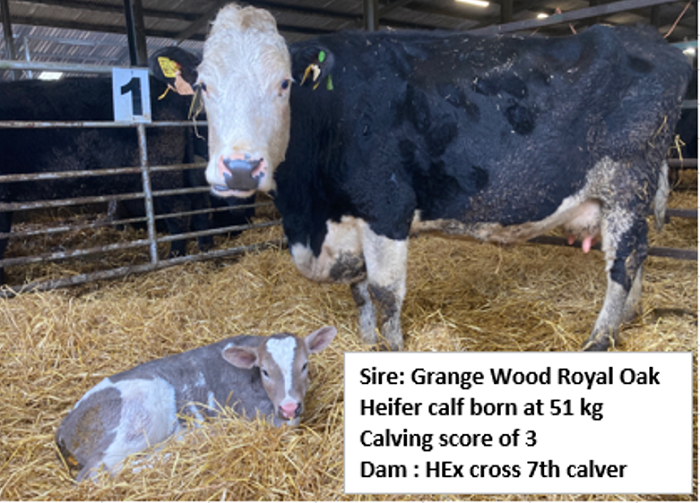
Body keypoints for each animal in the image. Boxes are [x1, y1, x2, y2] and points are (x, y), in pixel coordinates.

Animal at [55, 325, 337, 481]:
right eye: (265, 371)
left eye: (304, 365)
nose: (289, 406)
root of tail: (64, 429)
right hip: (137, 416)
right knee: (101, 471)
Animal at [171, 5, 690, 351]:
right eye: (202, 86)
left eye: (283, 84)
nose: (241, 168)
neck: (310, 216)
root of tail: (656, 43)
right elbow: (359, 290)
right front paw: (365, 342)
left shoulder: (386, 209)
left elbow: (384, 293)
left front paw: (392, 350)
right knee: (637, 255)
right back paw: (629, 319)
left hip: (627, 183)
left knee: (623, 261)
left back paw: (600, 339)